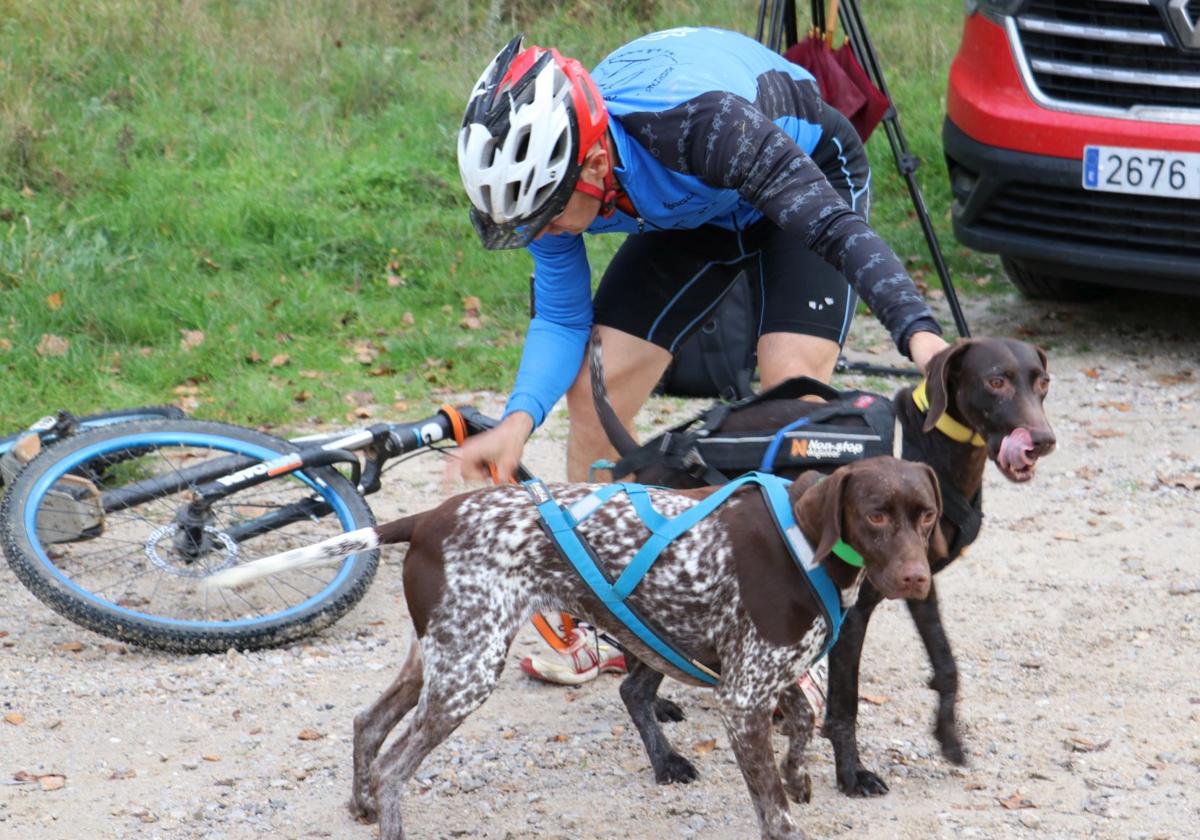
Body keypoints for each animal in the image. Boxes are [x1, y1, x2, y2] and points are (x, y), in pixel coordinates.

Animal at [309, 456, 945, 840]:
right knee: (393, 765)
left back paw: (362, 807)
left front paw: (799, 777)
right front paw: (788, 796)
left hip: (442, 657)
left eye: (927, 515)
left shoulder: (766, 674)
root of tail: (426, 520)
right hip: (468, 671)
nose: (917, 578)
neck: (806, 542)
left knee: (368, 724)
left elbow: (806, 722)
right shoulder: (742, 698)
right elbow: (776, 809)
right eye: (875, 515)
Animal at [595, 333, 1056, 792]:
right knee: (634, 681)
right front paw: (851, 773)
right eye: (996, 381)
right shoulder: (852, 612)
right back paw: (666, 757)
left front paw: (948, 738)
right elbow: (845, 704)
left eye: (1043, 382)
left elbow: (946, 665)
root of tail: (655, 452)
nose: (1043, 440)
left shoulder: (920, 585)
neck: (928, 446)